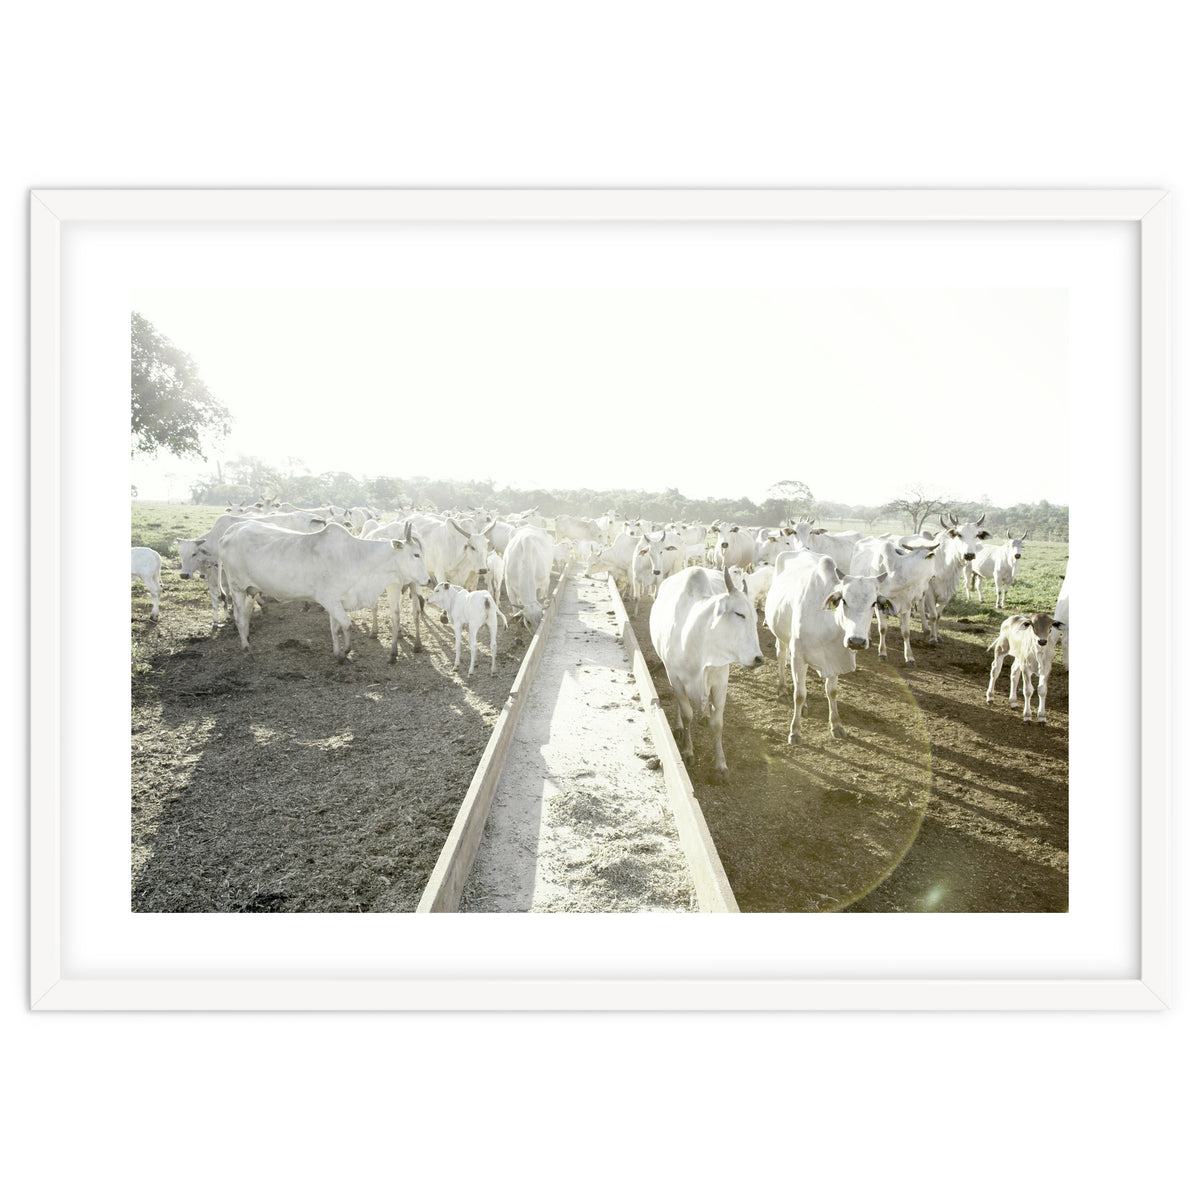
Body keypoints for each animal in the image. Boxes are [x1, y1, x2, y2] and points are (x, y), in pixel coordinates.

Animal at [218, 520, 428, 662]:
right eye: (416, 554)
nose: (427, 580)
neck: (356, 558)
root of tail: (231, 531)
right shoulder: (329, 599)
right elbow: (347, 625)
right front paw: (345, 651)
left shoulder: (337, 601)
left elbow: (335, 628)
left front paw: (338, 654)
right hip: (237, 588)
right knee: (239, 619)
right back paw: (247, 651)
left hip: (250, 591)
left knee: (245, 618)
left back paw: (247, 642)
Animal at [650, 566, 764, 776]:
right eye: (739, 613)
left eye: (756, 617)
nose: (758, 658)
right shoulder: (676, 678)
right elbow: (687, 714)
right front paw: (688, 751)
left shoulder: (720, 681)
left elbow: (717, 724)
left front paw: (720, 764)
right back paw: (679, 726)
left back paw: (704, 715)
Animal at [764, 550, 887, 744]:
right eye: (844, 600)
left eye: (874, 603)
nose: (856, 641)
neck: (827, 622)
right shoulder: (798, 656)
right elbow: (799, 694)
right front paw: (795, 731)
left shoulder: (835, 658)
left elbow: (832, 691)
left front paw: (836, 725)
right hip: (781, 635)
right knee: (782, 656)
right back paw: (782, 690)